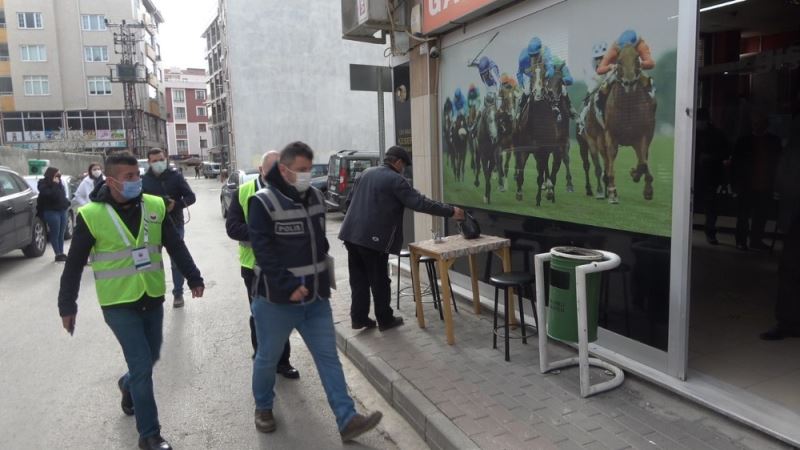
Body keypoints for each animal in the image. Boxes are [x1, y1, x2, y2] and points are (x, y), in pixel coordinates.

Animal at [516, 60, 560, 207]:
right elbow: (521, 171)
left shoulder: (544, 149)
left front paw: (538, 199)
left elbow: (540, 176)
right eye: (531, 74)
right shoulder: (523, 148)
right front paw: (519, 193)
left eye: (545, 74)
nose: (538, 92)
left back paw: (549, 191)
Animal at [604, 43, 652, 203]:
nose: (629, 83)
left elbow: (643, 163)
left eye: (637, 59)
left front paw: (635, 174)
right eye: (618, 61)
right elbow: (611, 157)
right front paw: (612, 191)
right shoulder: (610, 134)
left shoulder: (642, 135)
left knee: (643, 159)